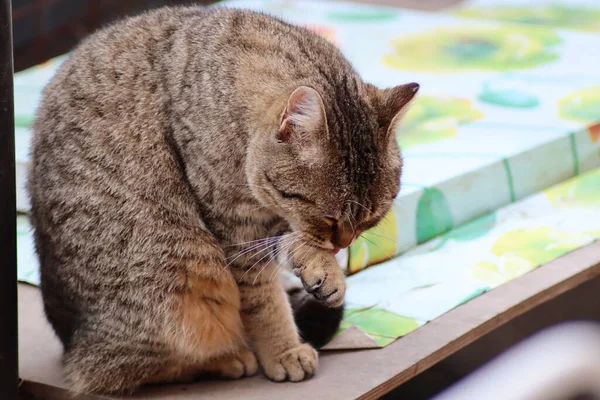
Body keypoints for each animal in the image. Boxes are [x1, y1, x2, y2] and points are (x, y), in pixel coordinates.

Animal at [27, 4, 418, 396]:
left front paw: (323, 269)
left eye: (371, 218)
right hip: (178, 272)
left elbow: (293, 245)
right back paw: (230, 358)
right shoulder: (235, 231)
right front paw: (283, 350)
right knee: (121, 370)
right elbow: (263, 300)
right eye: (330, 218)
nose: (343, 245)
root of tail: (68, 342)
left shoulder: (268, 224)